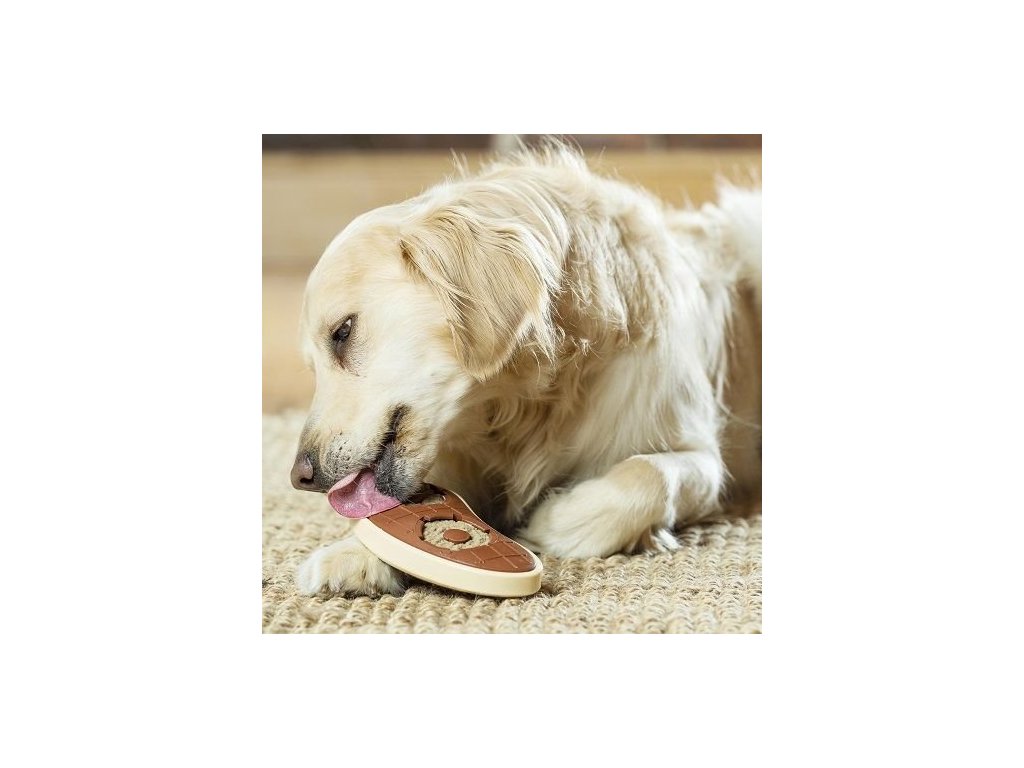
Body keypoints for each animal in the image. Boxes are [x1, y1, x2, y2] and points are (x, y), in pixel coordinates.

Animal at [290, 145, 761, 596]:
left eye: (342, 332)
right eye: (311, 364)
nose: (301, 476)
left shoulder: (699, 455)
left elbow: (649, 472)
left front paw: (558, 521)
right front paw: (354, 553)